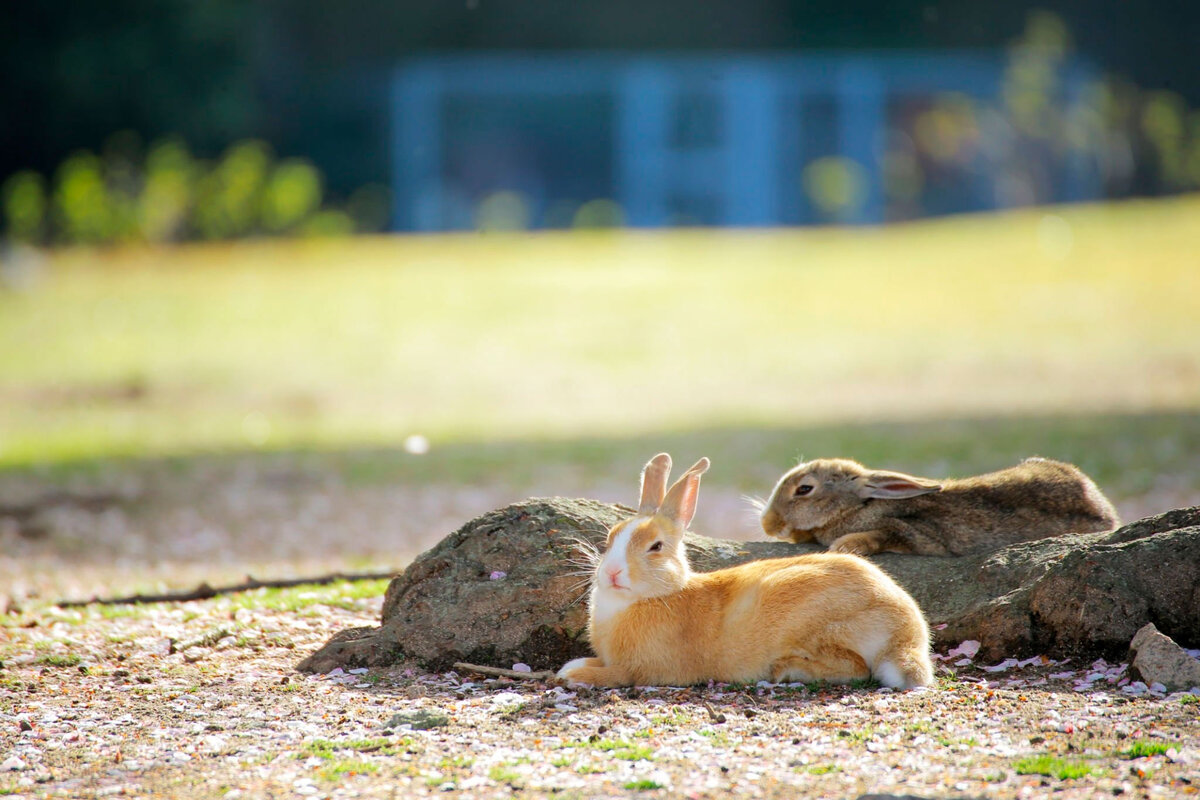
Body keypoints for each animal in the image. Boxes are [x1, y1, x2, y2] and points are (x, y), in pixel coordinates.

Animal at [556, 453, 931, 690]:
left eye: (656, 547)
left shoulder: (640, 668)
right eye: (610, 537)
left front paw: (571, 676)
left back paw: (787, 669)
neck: (663, 593)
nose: (612, 573)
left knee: (857, 667)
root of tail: (908, 631)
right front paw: (573, 667)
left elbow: (616, 675)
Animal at [763, 455, 1118, 556]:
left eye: (804, 489)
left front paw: (844, 547)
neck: (857, 507)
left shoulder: (918, 535)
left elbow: (886, 534)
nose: (768, 524)